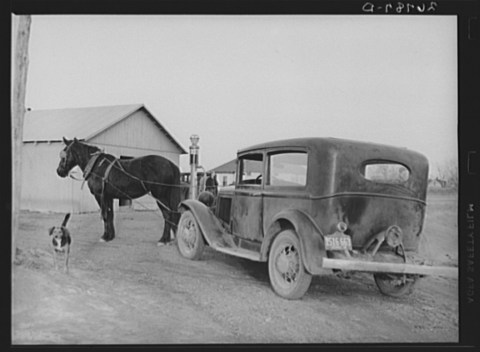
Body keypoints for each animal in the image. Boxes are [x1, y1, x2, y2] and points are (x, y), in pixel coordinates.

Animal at [55, 138, 185, 245]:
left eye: (64, 153)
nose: (59, 171)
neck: (97, 166)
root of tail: (170, 164)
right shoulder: (108, 197)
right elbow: (110, 215)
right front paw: (110, 236)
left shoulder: (100, 196)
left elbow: (105, 216)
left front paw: (104, 237)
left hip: (160, 196)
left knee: (167, 215)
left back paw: (163, 240)